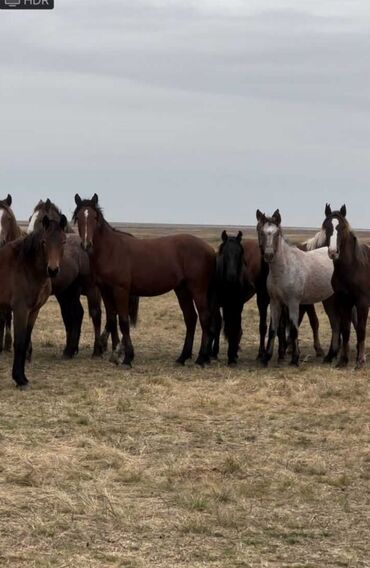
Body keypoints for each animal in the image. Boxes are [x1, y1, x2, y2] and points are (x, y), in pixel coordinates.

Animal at [0, 215, 66, 388]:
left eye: (63, 241)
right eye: (44, 242)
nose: (53, 270)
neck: (25, 267)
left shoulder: (34, 311)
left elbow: (26, 341)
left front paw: (23, 377)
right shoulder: (20, 310)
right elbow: (19, 342)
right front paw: (18, 378)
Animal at [72, 193, 217, 366]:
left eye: (94, 217)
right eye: (78, 217)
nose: (86, 244)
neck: (111, 250)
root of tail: (209, 249)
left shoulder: (121, 290)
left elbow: (123, 321)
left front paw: (127, 357)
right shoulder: (106, 291)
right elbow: (112, 320)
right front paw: (115, 354)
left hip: (198, 289)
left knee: (204, 318)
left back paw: (201, 358)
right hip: (182, 289)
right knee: (191, 318)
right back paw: (182, 357)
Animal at [256, 211, 340, 366]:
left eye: (277, 233)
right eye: (261, 231)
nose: (269, 255)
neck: (284, 268)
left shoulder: (294, 303)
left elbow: (294, 329)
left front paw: (295, 359)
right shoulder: (275, 302)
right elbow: (273, 330)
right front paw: (266, 357)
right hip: (330, 300)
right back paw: (332, 355)